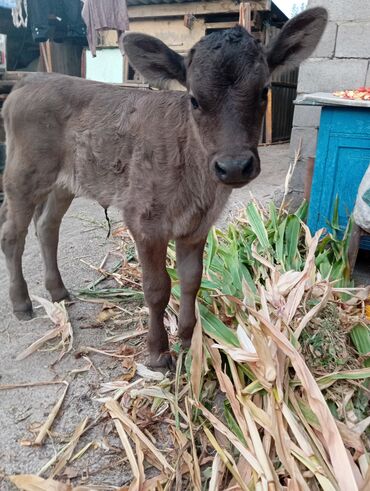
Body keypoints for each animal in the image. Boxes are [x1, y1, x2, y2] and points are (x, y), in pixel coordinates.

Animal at [1, 9, 326, 368]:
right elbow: (157, 288)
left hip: (65, 183)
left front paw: (187, 338)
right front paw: (158, 352)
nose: (234, 166)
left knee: (47, 227)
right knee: (13, 235)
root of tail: (30, 80)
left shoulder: (197, 227)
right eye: (194, 99)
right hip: (22, 175)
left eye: (264, 91)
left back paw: (57, 291)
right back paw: (21, 302)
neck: (197, 183)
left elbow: (191, 281)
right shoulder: (143, 221)